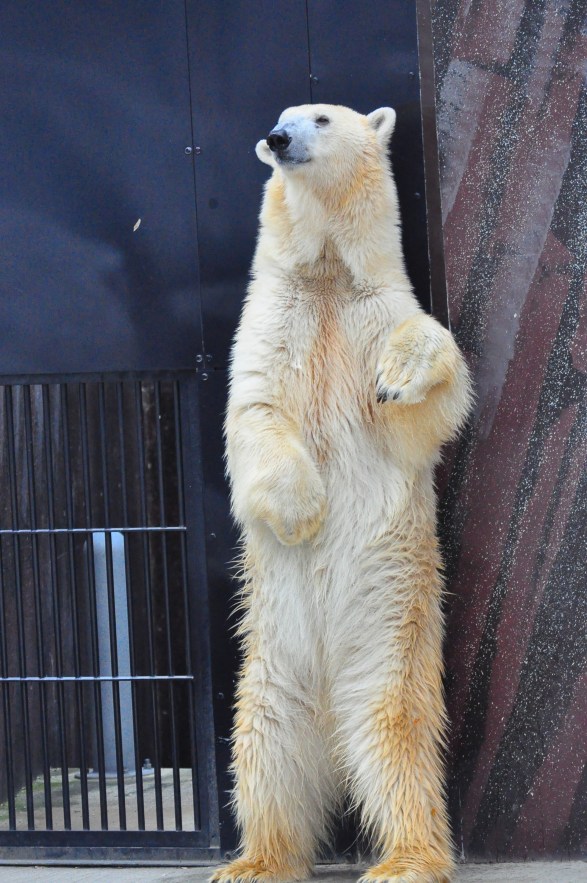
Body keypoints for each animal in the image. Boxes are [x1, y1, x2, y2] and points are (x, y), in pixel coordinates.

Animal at [213, 104, 473, 883]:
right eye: (279, 118)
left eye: (320, 118)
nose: (277, 138)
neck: (327, 274)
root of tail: (327, 710)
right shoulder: (269, 322)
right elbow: (257, 414)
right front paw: (303, 514)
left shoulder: (375, 311)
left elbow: (418, 413)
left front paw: (400, 374)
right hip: (270, 668)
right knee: (266, 752)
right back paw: (254, 859)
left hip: (388, 641)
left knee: (395, 739)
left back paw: (406, 858)